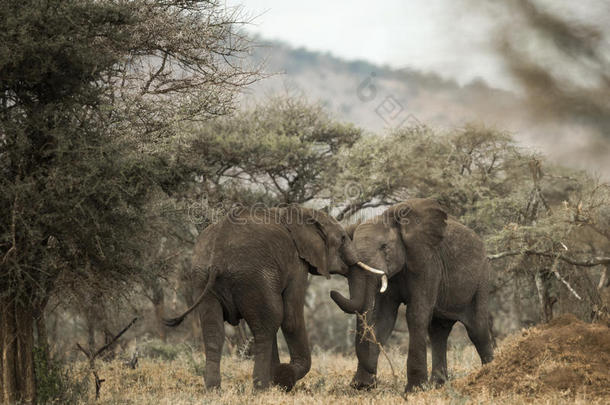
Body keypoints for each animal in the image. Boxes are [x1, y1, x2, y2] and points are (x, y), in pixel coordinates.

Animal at [164, 207, 382, 390]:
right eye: (343, 238)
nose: (332, 292)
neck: (299, 212)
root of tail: (217, 258)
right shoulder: (296, 263)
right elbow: (291, 318)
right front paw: (284, 378)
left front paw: (279, 378)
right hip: (253, 277)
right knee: (268, 324)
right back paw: (260, 389)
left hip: (202, 278)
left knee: (214, 332)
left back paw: (213, 390)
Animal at [328, 199, 494, 392]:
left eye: (384, 247)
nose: (332, 292)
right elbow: (383, 319)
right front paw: (363, 386)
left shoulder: (427, 261)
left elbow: (416, 314)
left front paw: (415, 389)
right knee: (438, 331)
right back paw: (438, 385)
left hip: (482, 278)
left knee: (478, 329)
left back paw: (489, 373)